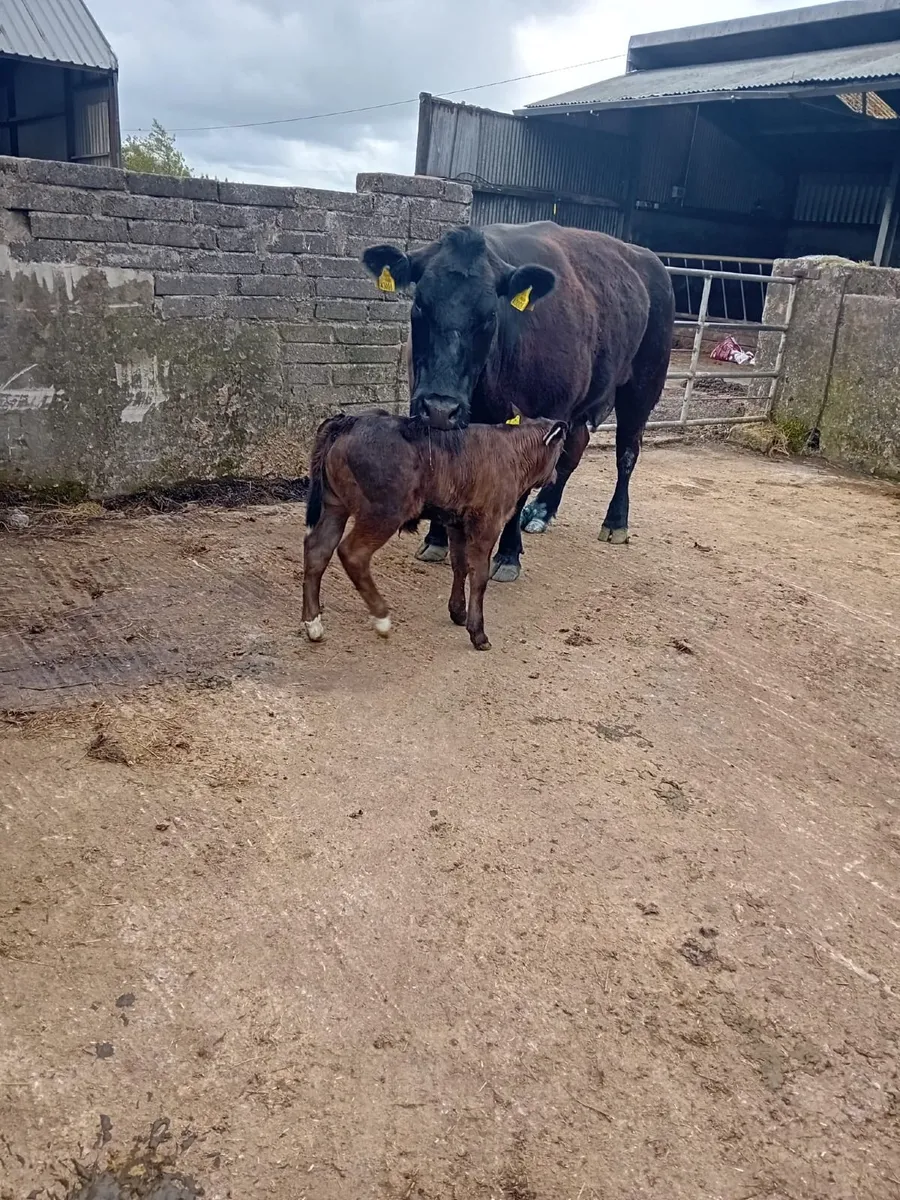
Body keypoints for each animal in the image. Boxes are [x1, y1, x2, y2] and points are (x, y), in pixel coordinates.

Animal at [302, 409, 567, 650]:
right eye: (560, 449)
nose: (554, 474)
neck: (512, 449)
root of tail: (349, 421)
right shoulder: (487, 523)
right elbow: (479, 575)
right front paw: (478, 634)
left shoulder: (456, 523)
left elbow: (460, 566)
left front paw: (458, 613)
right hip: (383, 513)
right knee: (352, 553)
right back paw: (381, 618)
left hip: (335, 506)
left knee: (318, 549)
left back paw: (313, 624)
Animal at [361, 222, 675, 582]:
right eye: (419, 306)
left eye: (489, 316)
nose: (440, 407)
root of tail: (648, 258)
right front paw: (436, 539)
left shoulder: (543, 417)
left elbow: (521, 485)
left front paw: (508, 555)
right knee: (575, 449)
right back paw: (541, 511)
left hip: (643, 385)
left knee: (627, 451)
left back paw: (615, 523)